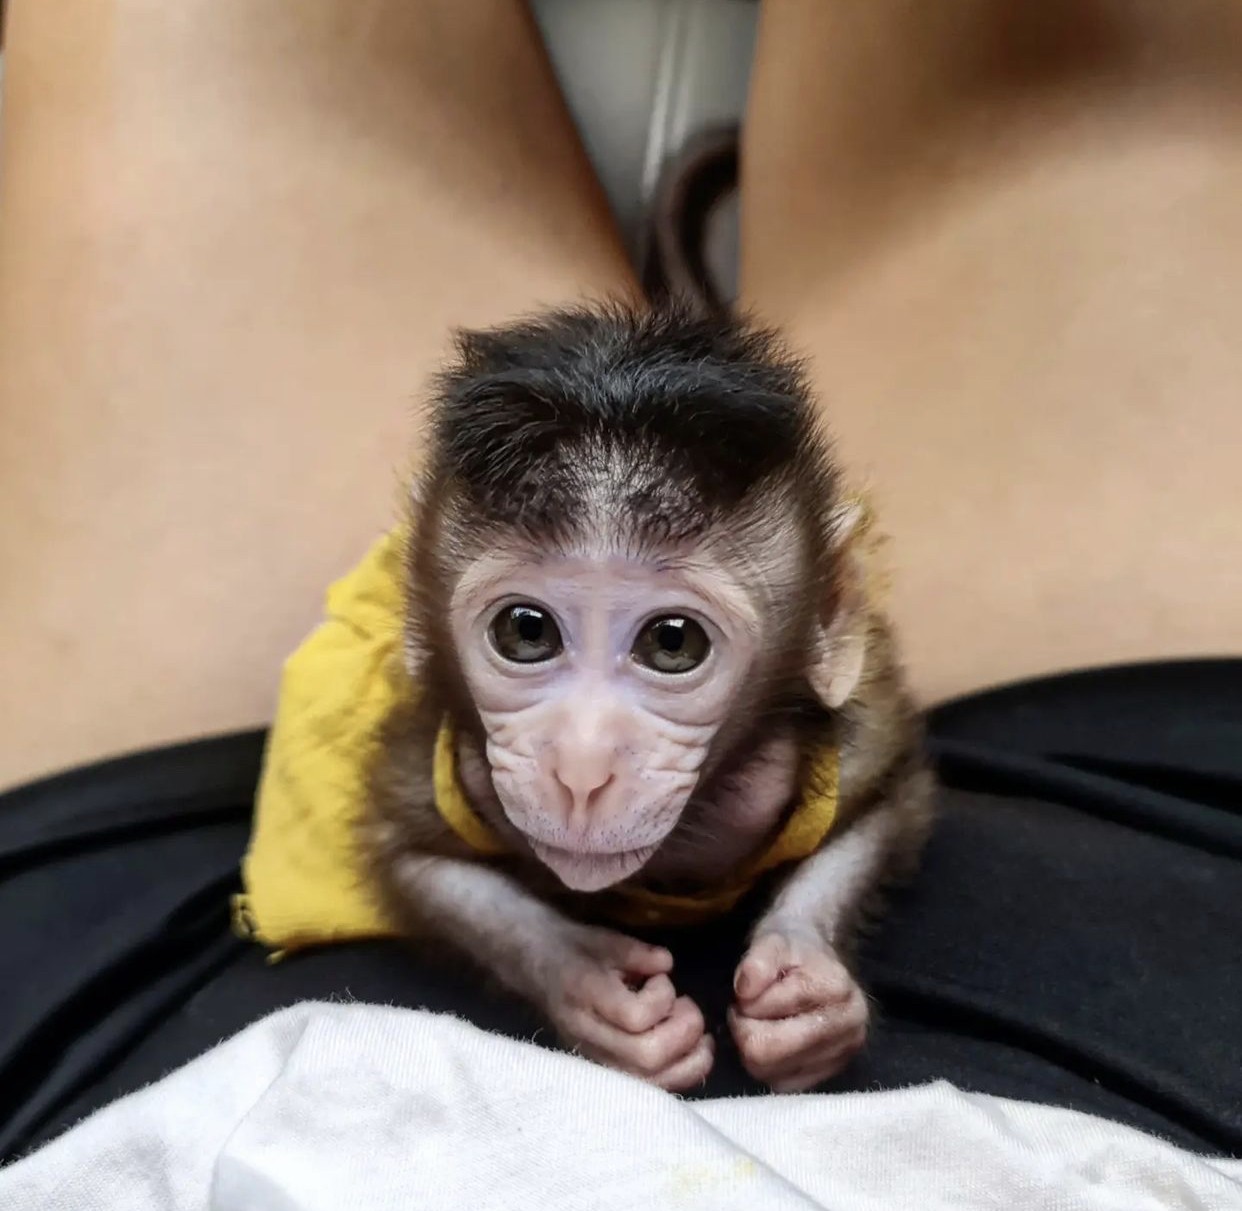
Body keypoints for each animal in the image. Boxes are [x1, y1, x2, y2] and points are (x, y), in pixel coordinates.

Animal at [359, 302, 935, 1095]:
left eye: (672, 643)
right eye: (526, 631)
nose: (580, 771)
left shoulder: (854, 741)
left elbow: (888, 803)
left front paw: (807, 991)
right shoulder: (443, 766)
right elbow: (413, 859)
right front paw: (589, 985)